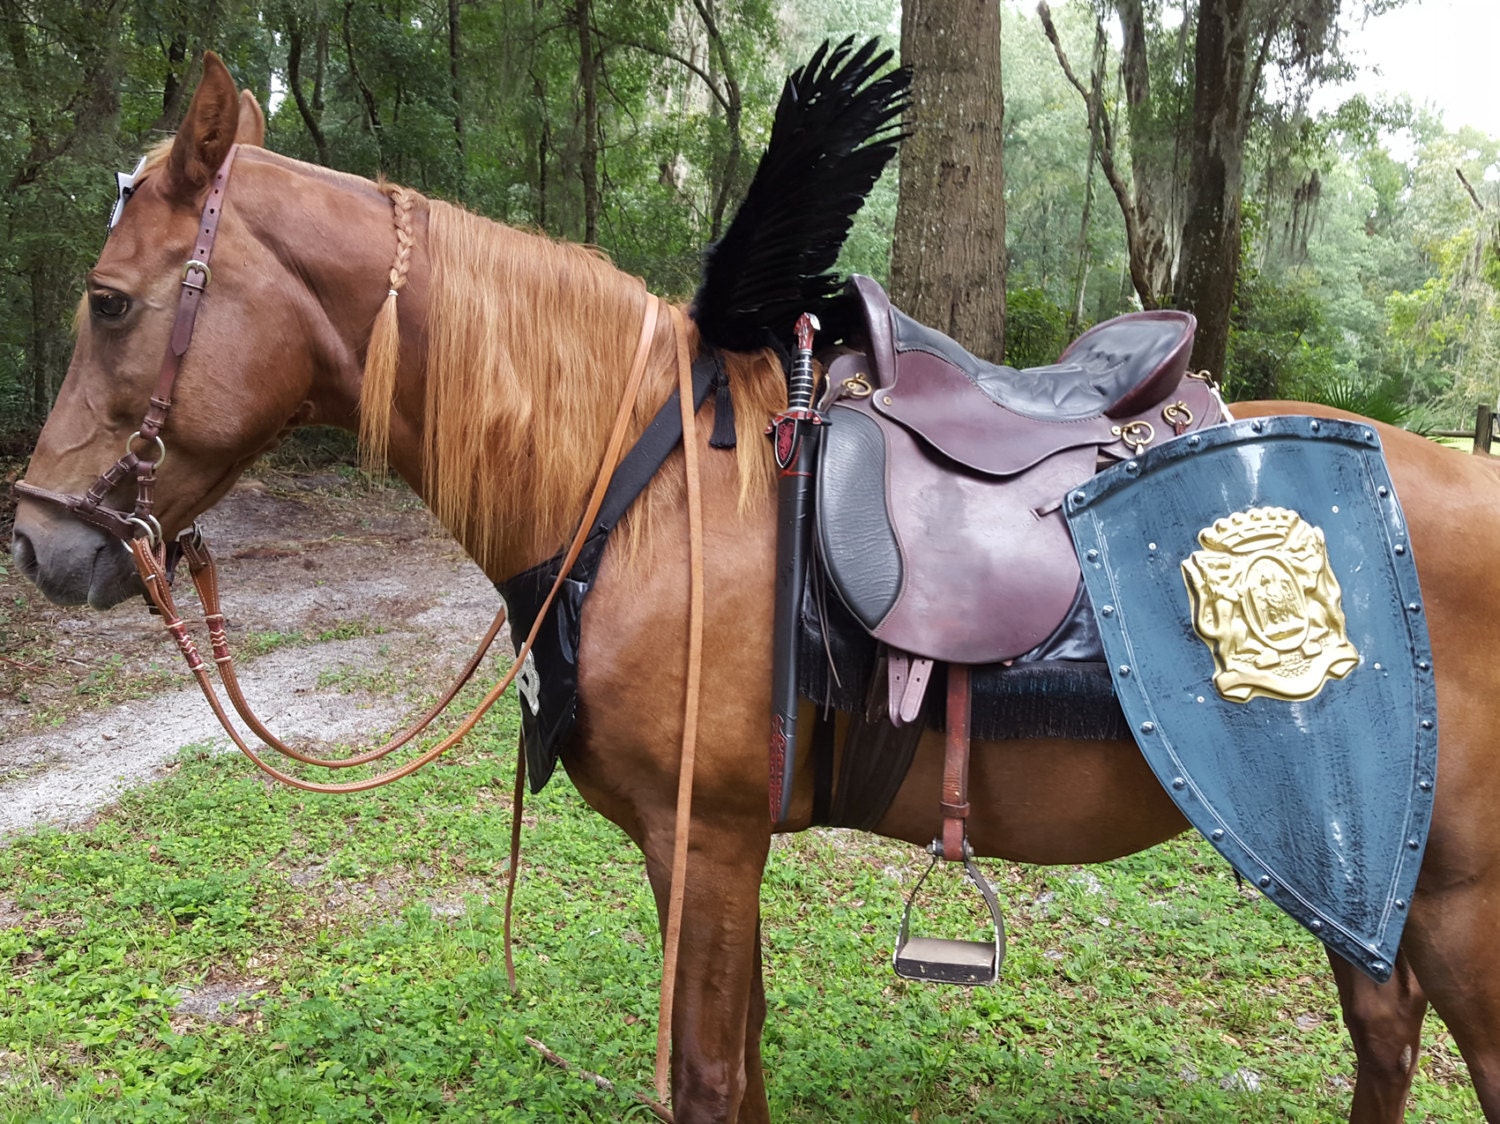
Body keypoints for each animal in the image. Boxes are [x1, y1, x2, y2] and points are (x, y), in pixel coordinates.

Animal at [11, 55, 1500, 1124]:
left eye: (108, 299)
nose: (39, 541)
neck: (635, 489)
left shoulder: (706, 842)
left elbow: (712, 1076)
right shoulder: (707, 856)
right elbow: (745, 1060)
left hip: (1455, 892)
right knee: (1383, 1035)